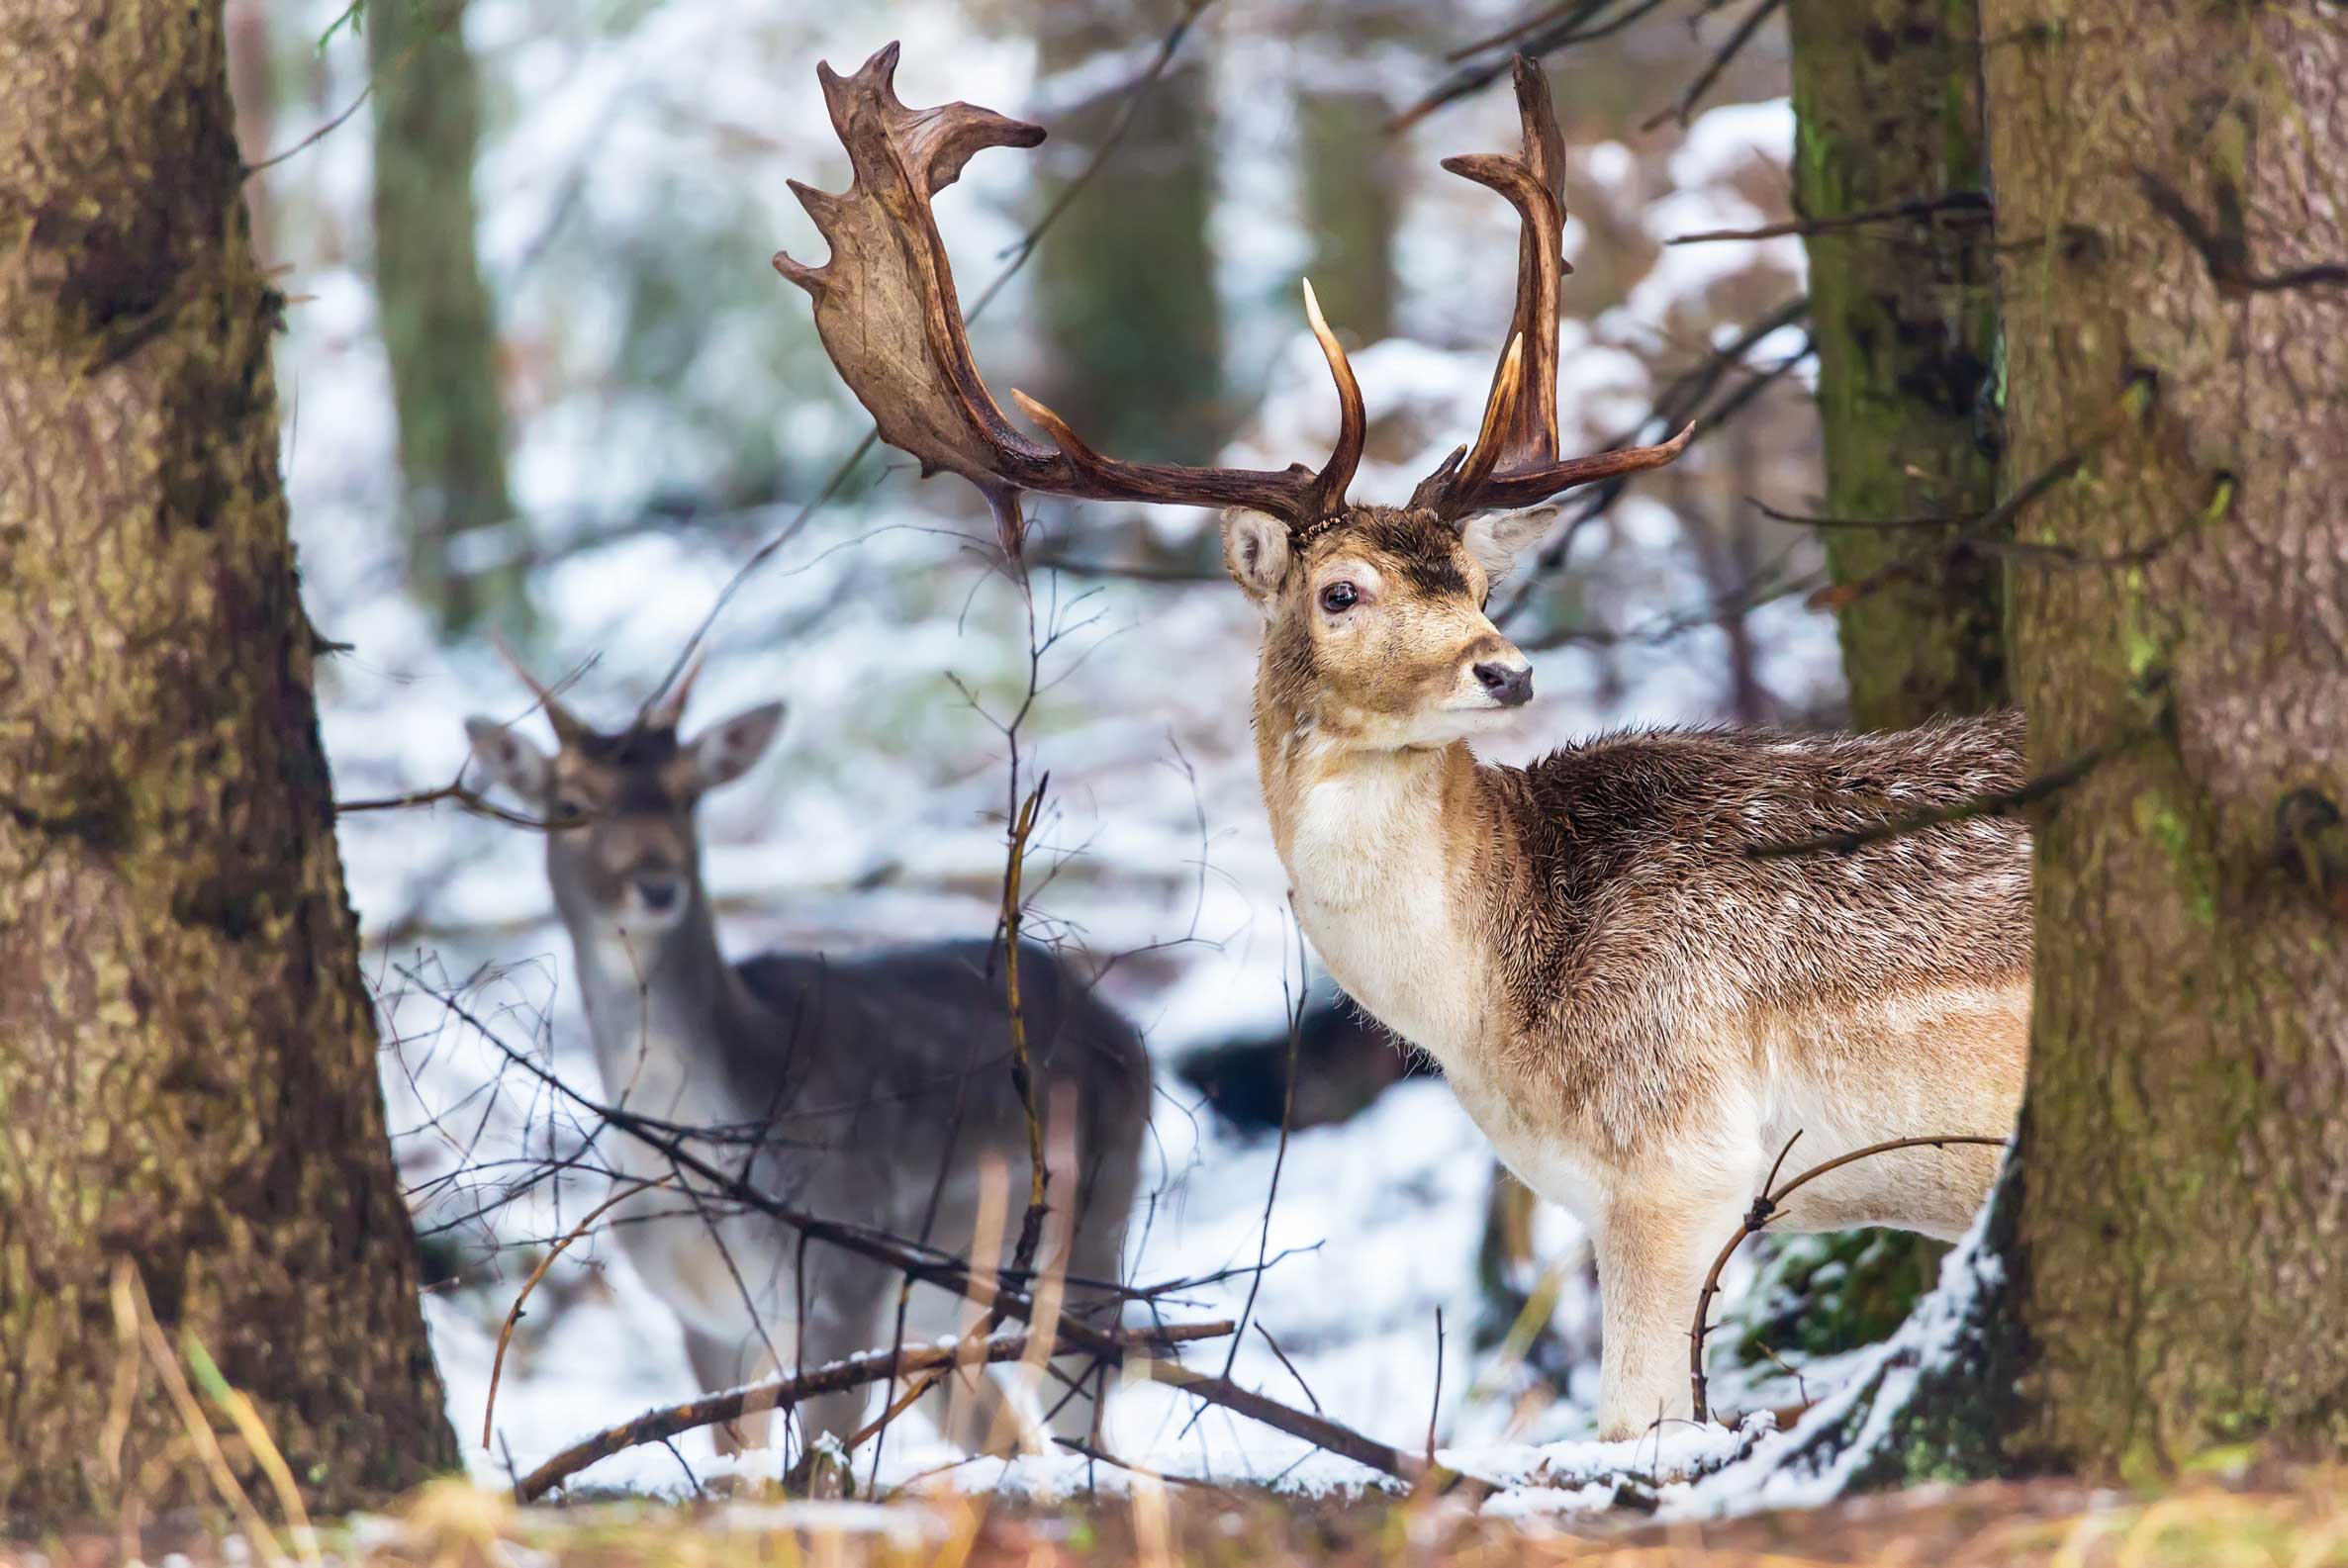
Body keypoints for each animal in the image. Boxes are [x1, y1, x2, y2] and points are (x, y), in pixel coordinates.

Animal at [460, 652, 1155, 1455]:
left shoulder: (842, 1277)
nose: (656, 884)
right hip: (937, 1304)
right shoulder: (700, 1315)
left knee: (1083, 1410)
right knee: (1002, 1433)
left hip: (1092, 1228)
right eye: (570, 803)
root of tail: (1124, 1028)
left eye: (689, 795)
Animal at [779, 46, 2028, 1445]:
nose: (1507, 665)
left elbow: (1633, 1427)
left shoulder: (1676, 1164)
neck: (1499, 1017)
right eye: (1343, 591)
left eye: (1475, 582)